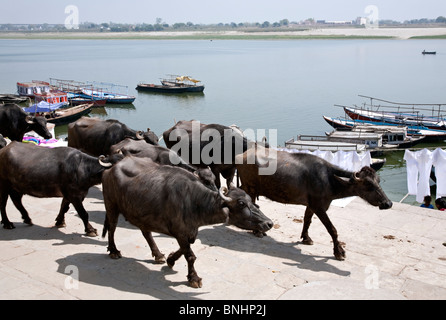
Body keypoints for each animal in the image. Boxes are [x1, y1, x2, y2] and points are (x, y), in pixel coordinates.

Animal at [102, 156, 274, 288]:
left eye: (250, 200)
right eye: (241, 204)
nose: (269, 223)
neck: (193, 202)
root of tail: (110, 169)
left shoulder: (188, 232)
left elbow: (184, 250)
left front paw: (170, 259)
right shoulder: (180, 232)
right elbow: (190, 256)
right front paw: (194, 278)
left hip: (141, 213)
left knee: (146, 232)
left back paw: (158, 255)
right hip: (111, 205)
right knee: (112, 228)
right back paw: (114, 251)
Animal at [235, 149, 392, 262]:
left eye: (378, 181)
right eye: (368, 184)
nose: (388, 203)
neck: (329, 180)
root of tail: (241, 155)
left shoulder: (311, 205)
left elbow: (307, 221)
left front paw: (306, 238)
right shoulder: (319, 207)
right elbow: (332, 229)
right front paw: (339, 252)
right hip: (250, 188)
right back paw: (257, 231)